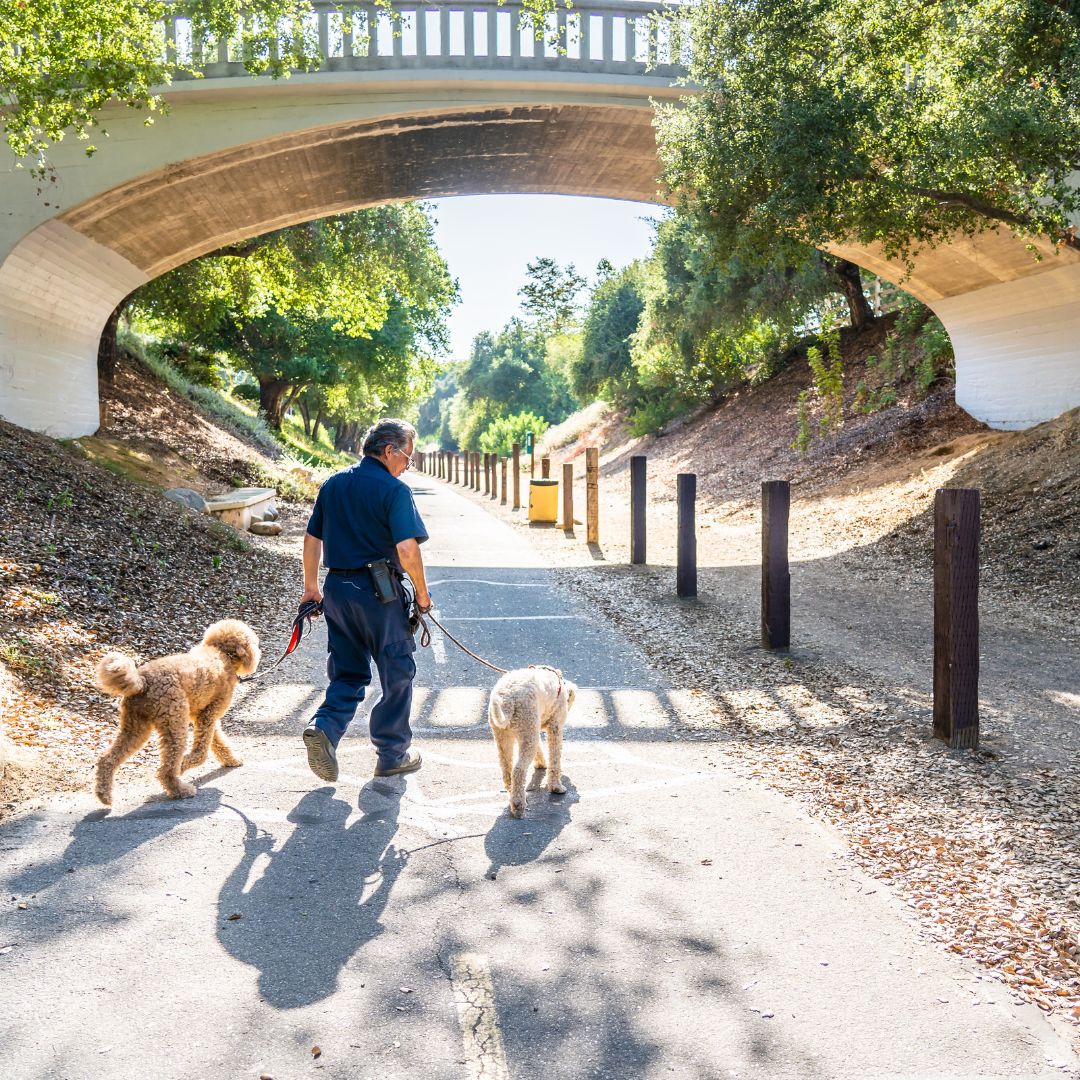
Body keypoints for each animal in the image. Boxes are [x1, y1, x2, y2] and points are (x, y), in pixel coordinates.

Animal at [92, 622, 259, 807]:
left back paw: (104, 794)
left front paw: (231, 759)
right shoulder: (208, 716)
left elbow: (219, 742)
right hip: (175, 723)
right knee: (167, 769)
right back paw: (180, 789)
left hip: (135, 727)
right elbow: (201, 753)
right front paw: (184, 766)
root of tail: (142, 682)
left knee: (107, 758)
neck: (221, 653)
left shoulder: (205, 716)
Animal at [488, 665, 578, 816]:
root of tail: (507, 700)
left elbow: (540, 750)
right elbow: (555, 759)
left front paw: (541, 764)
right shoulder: (555, 727)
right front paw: (556, 787)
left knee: (507, 772)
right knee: (518, 770)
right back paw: (519, 806)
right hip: (528, 730)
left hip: (505, 737)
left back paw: (514, 797)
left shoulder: (535, 728)